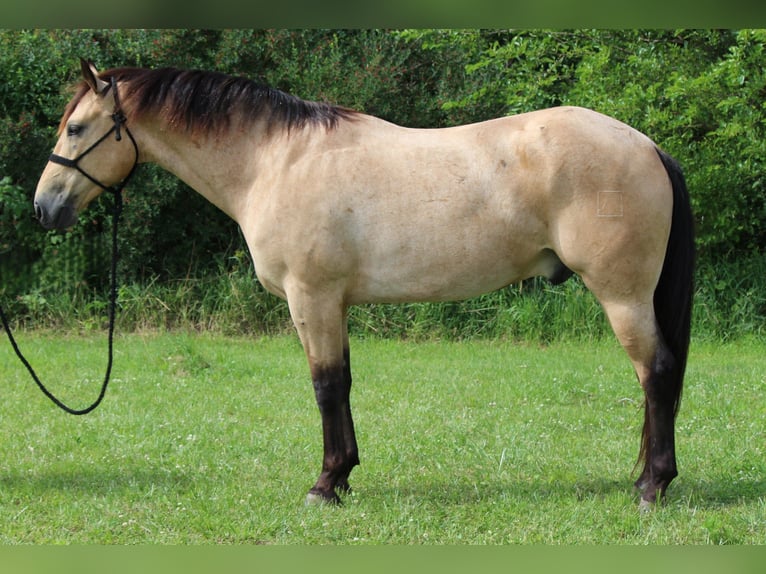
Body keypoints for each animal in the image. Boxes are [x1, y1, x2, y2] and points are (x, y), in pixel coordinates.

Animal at [34, 60, 694, 508]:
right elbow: (343, 384)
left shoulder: (313, 298)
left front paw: (325, 484)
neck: (274, 161)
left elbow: (326, 387)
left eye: (77, 128)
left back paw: (652, 486)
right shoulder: (333, 304)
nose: (44, 208)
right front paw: (344, 475)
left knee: (656, 373)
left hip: (623, 296)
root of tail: (647, 145)